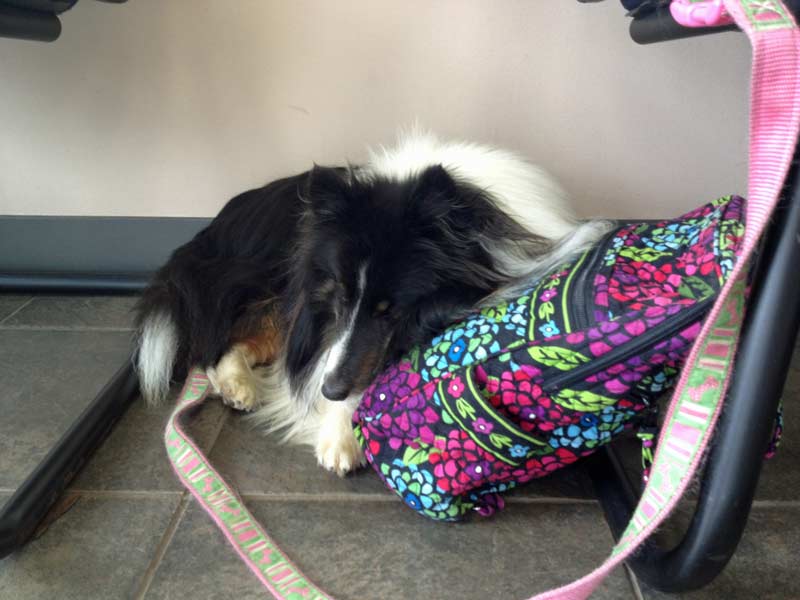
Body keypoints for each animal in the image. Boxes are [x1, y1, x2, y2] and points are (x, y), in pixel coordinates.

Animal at [134, 130, 609, 475]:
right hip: (271, 281)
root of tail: (207, 233)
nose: (331, 390)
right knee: (217, 340)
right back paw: (238, 386)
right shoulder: (320, 312)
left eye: (390, 309)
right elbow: (330, 362)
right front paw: (339, 437)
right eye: (341, 298)